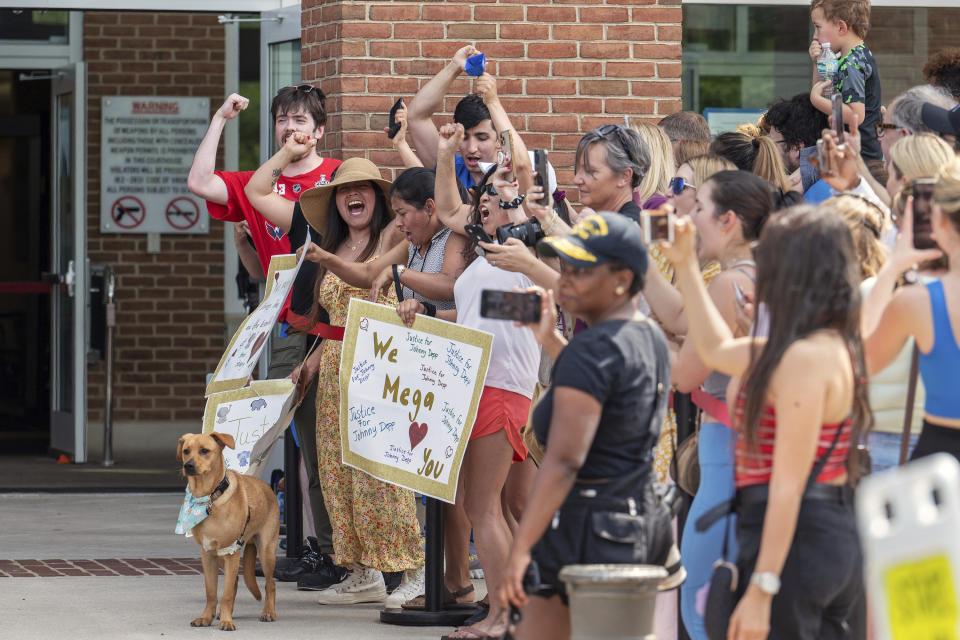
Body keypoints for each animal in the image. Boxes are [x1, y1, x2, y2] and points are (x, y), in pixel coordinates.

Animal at [177, 430, 280, 632]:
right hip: (224, 557)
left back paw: (268, 612)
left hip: (266, 552)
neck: (209, 497)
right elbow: (211, 592)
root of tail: (267, 487)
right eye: (186, 451)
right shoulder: (208, 554)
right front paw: (206, 618)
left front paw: (226, 621)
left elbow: (224, 593)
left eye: (204, 450)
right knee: (235, 583)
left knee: (270, 583)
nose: (188, 465)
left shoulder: (231, 552)